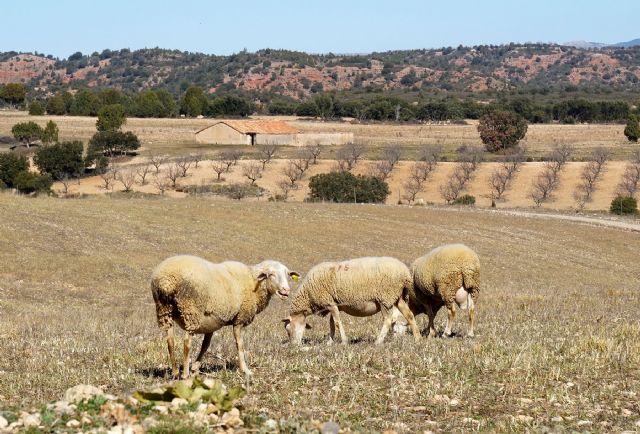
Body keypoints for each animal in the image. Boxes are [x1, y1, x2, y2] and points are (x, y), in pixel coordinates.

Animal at [151, 256, 298, 378]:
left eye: (287, 274)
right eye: (270, 274)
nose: (286, 290)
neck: (253, 280)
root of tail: (166, 280)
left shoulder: (212, 322)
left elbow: (205, 345)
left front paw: (196, 368)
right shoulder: (239, 319)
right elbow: (240, 345)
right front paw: (245, 370)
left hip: (164, 310)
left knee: (170, 340)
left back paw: (175, 372)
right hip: (191, 310)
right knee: (187, 342)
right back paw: (185, 374)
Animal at [280, 258, 420, 346]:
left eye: (288, 329)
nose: (293, 345)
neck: (308, 295)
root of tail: (405, 273)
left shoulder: (330, 303)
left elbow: (337, 323)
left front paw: (343, 341)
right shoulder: (333, 304)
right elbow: (331, 324)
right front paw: (330, 342)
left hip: (384, 298)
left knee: (388, 320)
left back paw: (378, 341)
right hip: (398, 298)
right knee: (409, 315)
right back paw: (417, 338)